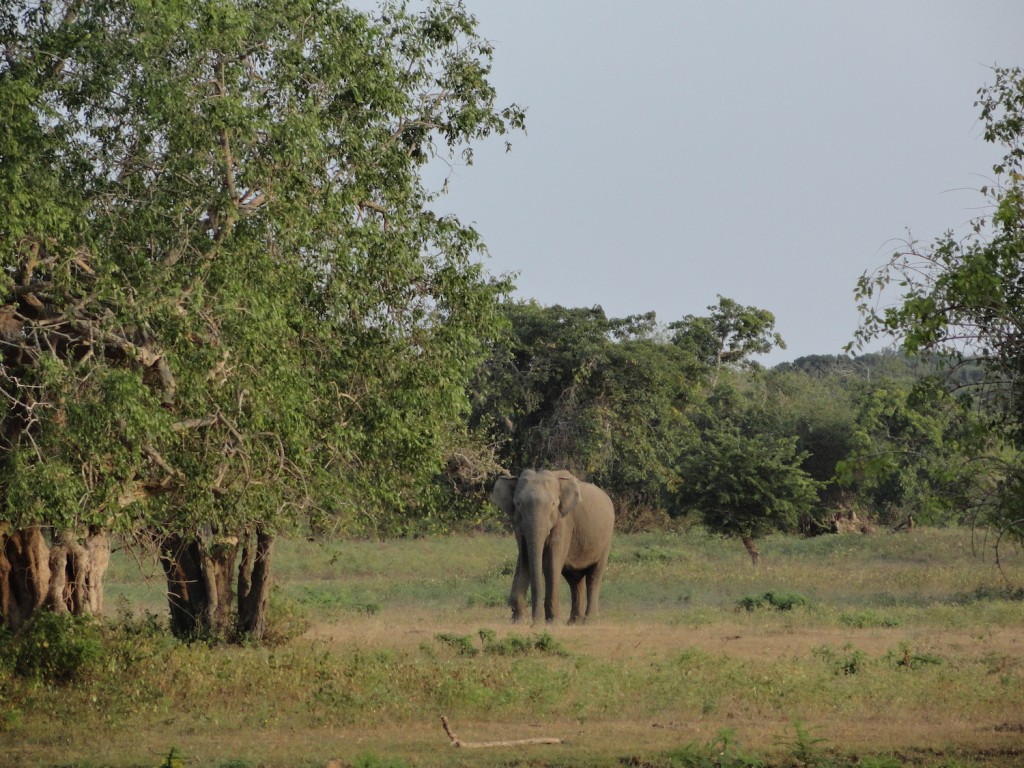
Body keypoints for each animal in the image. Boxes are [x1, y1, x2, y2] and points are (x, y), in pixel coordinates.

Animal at [489, 468, 610, 626]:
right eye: (518, 503)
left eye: (553, 504)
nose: (534, 623)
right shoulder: (518, 523)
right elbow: (524, 558)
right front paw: (518, 622)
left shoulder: (564, 521)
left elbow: (550, 563)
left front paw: (552, 623)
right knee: (574, 579)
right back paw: (573, 622)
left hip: (606, 540)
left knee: (594, 576)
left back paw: (589, 621)